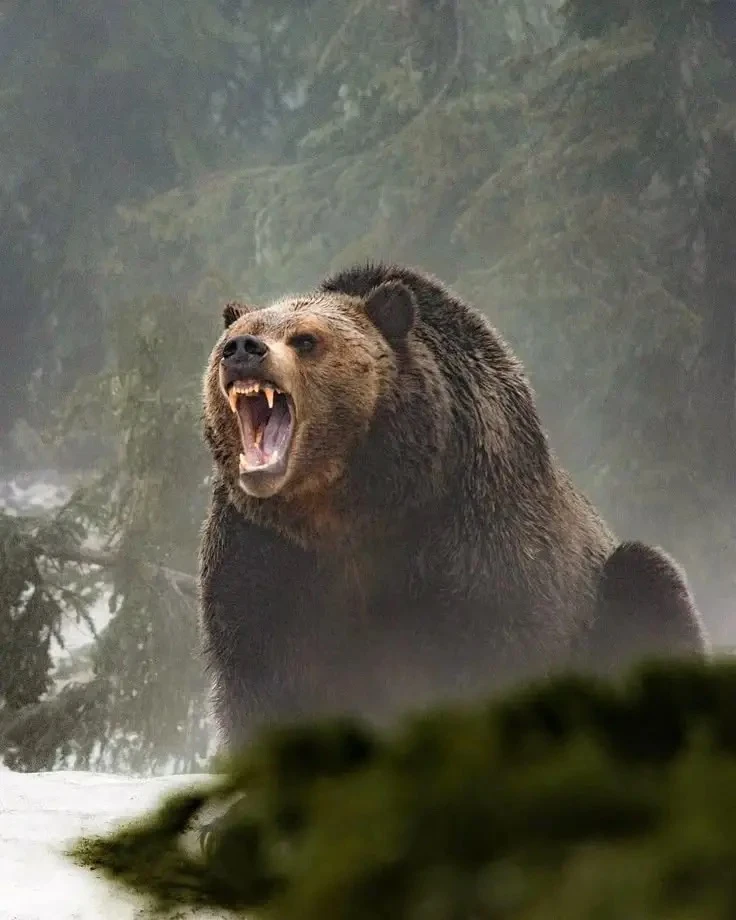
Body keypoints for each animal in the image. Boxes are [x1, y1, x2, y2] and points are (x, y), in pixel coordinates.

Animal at [198, 262, 709, 755]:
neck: (351, 506)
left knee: (649, 578)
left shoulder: (472, 532)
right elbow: (263, 672)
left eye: (305, 339)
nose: (242, 349)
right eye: (237, 334)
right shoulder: (265, 554)